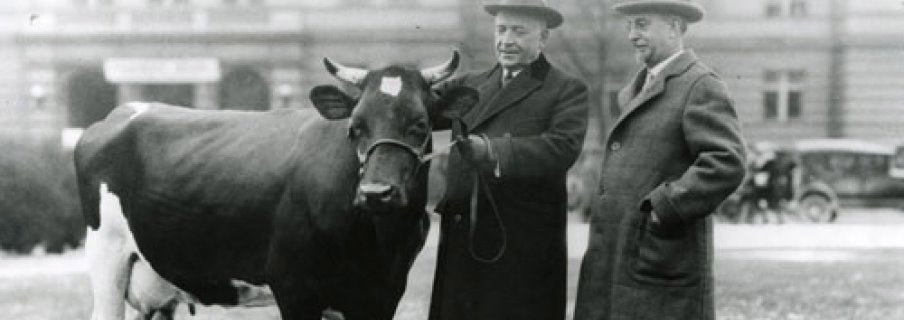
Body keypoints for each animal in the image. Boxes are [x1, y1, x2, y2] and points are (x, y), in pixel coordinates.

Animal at [77, 51, 480, 318]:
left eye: (420, 124)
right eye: (355, 126)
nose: (376, 193)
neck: (378, 241)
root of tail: (123, 112)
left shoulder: (384, 293)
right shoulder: (293, 286)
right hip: (107, 258)